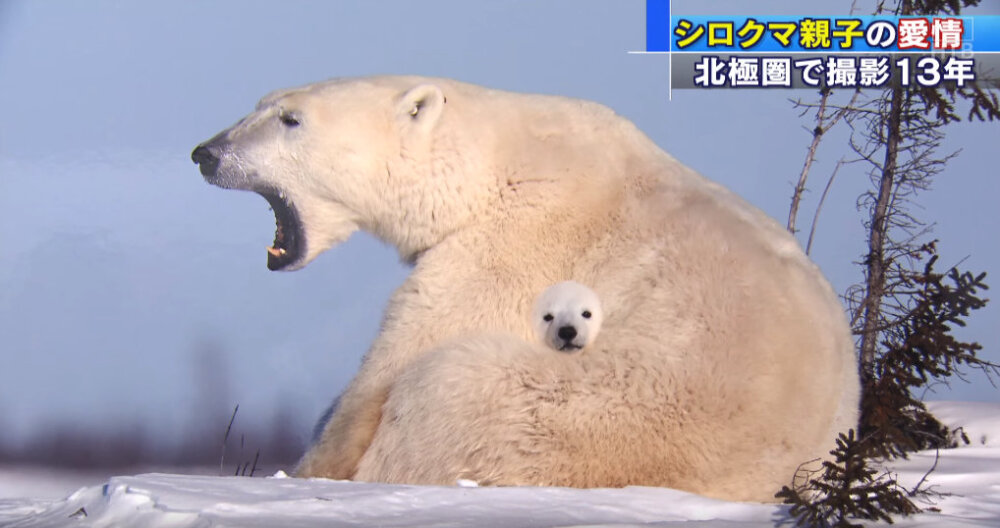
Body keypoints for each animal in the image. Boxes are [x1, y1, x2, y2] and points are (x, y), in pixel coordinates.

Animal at [191, 76, 856, 502]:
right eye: (260, 104)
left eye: (290, 119)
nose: (205, 152)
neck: (490, 165)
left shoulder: (514, 244)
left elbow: (397, 360)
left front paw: (307, 473)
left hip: (583, 416)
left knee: (444, 383)